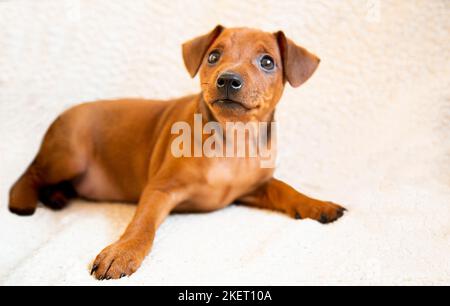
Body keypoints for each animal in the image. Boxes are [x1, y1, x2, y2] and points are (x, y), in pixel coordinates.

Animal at [8, 26, 346, 280]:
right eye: (213, 56)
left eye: (267, 62)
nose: (228, 79)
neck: (233, 139)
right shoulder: (160, 189)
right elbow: (142, 224)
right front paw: (122, 252)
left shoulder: (253, 187)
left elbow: (285, 189)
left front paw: (317, 204)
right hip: (69, 155)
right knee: (30, 172)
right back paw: (25, 200)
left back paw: (57, 196)